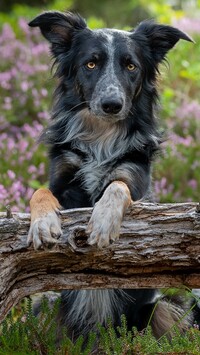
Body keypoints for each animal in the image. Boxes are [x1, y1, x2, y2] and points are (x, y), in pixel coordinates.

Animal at [27, 11, 195, 344]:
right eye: (90, 64)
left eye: (131, 66)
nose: (112, 105)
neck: (101, 137)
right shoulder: (62, 182)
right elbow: (40, 191)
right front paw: (42, 224)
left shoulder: (135, 180)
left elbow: (116, 186)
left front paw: (103, 222)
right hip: (47, 306)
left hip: (161, 309)